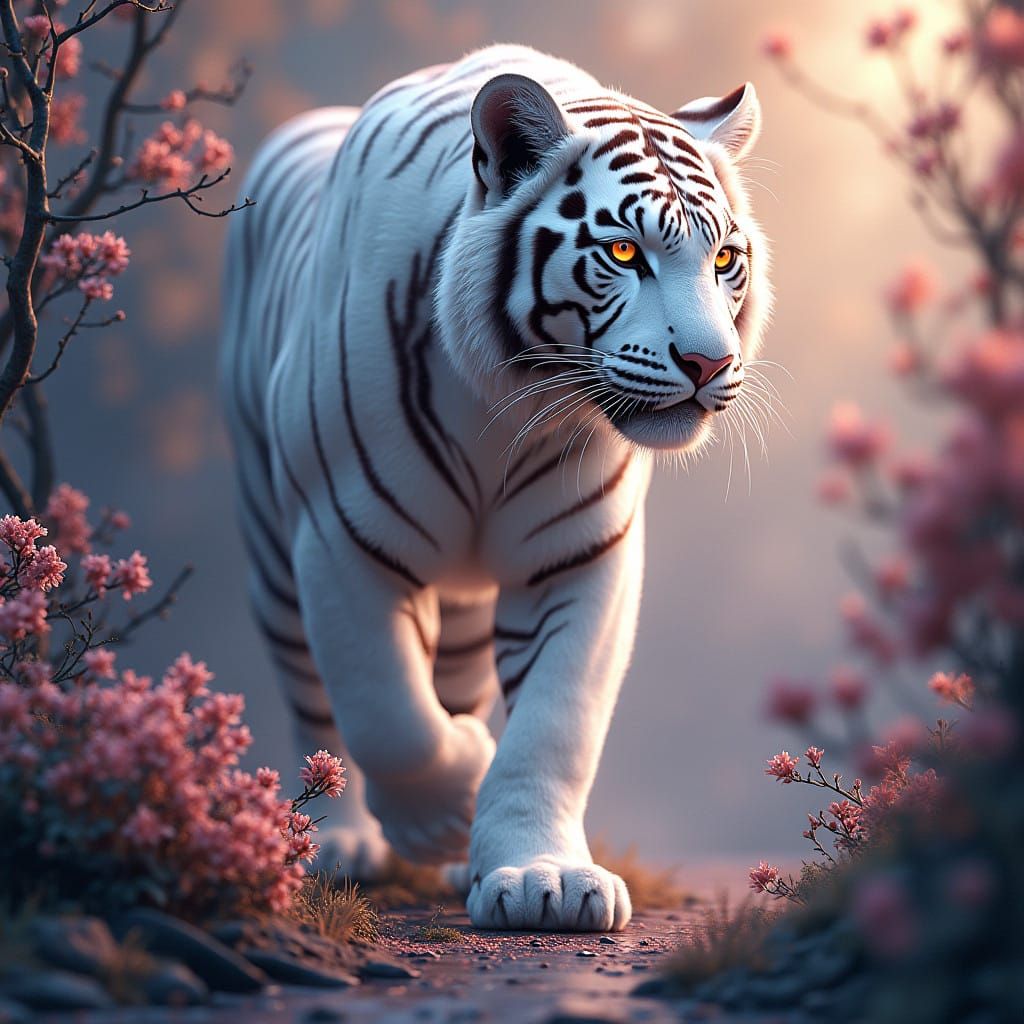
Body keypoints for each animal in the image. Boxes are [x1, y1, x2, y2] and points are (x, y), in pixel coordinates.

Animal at [220, 44, 771, 932]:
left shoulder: (577, 557)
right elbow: (385, 709)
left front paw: (538, 875)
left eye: (724, 260)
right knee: (317, 705)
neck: (512, 403)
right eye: (624, 254)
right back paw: (344, 841)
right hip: (272, 552)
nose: (708, 362)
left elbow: (554, 727)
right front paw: (442, 810)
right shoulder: (340, 538)